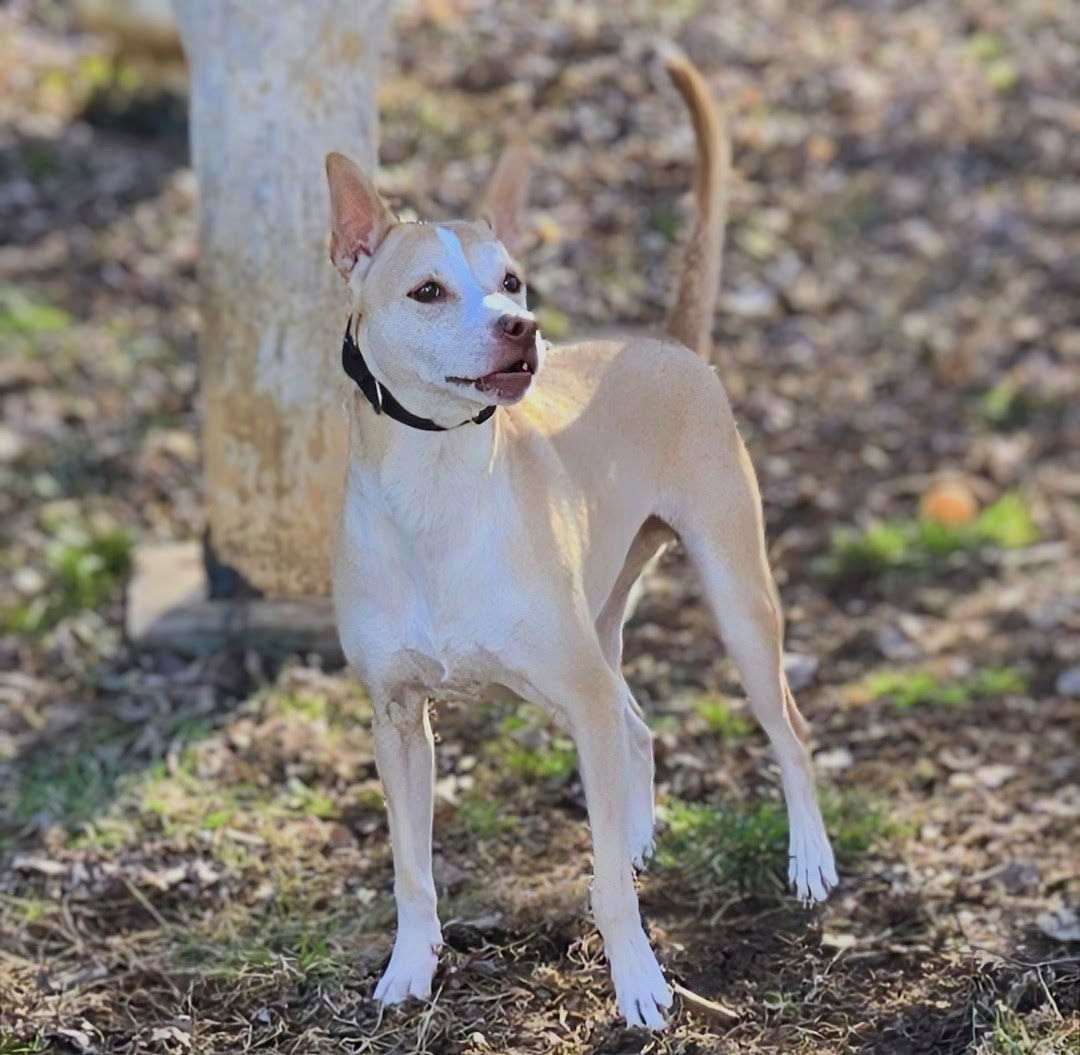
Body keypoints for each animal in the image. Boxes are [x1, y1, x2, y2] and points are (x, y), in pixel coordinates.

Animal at [321, 51, 833, 1028]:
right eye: (428, 291)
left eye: (513, 281)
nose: (520, 329)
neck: (439, 491)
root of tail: (668, 343)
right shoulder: (397, 719)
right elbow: (410, 867)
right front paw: (410, 965)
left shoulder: (578, 694)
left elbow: (604, 889)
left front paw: (638, 981)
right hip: (597, 628)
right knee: (636, 724)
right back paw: (635, 831)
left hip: (735, 600)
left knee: (784, 727)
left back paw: (809, 856)